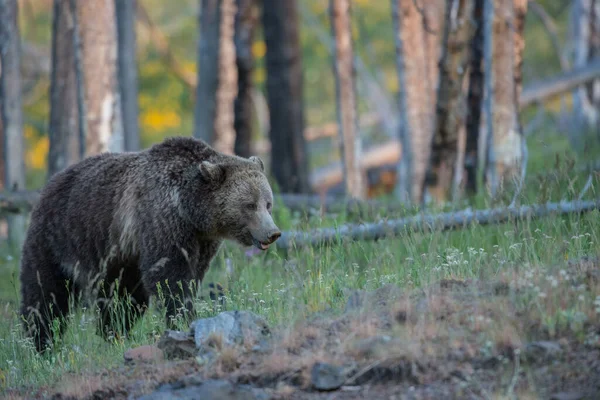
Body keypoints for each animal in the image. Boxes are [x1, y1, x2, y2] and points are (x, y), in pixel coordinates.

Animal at [18, 136, 282, 352]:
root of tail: (50, 182)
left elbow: (190, 276)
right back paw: (40, 341)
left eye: (267, 203)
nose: (273, 233)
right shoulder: (161, 223)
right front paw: (183, 317)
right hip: (59, 237)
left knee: (121, 297)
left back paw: (113, 332)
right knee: (45, 293)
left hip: (117, 258)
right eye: (249, 205)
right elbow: (171, 278)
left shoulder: (201, 240)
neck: (190, 210)